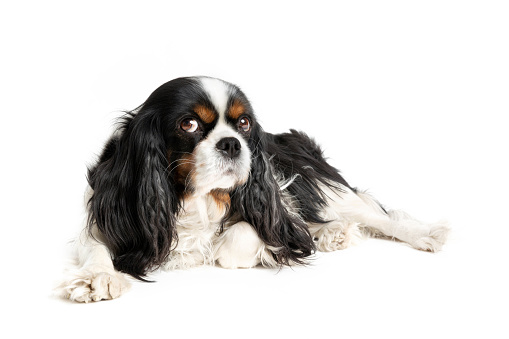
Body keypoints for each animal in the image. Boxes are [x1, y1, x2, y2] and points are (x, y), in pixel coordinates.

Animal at [59, 77, 448, 302]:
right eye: (189, 124)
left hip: (313, 178)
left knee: (375, 213)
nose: (232, 142)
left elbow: (242, 237)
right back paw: (332, 232)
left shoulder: (271, 205)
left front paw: (225, 250)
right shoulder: (102, 216)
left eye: (244, 123)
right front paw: (97, 278)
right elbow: (96, 248)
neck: (195, 200)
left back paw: (423, 233)